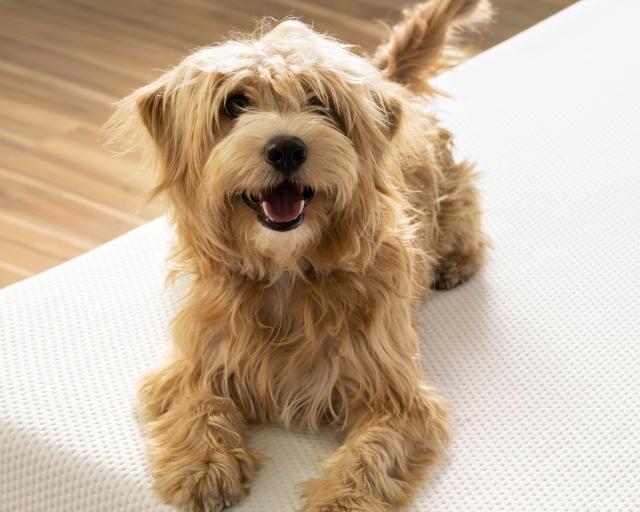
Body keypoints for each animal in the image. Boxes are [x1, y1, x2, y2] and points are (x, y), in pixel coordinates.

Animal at [109, 2, 490, 510]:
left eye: (319, 102)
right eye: (235, 104)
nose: (287, 148)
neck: (289, 272)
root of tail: (391, 82)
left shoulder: (396, 396)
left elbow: (370, 456)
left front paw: (338, 501)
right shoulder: (193, 362)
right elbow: (198, 403)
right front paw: (203, 466)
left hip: (454, 196)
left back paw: (452, 264)